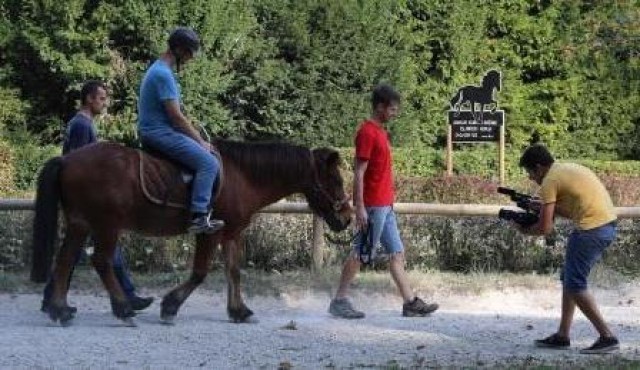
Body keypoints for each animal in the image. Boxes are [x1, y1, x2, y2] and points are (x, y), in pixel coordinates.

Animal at [30, 140, 352, 326]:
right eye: (336, 180)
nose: (348, 218)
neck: (241, 175)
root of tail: (68, 159)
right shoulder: (209, 233)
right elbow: (200, 272)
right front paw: (170, 306)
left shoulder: (231, 233)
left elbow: (234, 272)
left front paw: (239, 310)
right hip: (106, 225)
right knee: (101, 261)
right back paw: (122, 309)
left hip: (80, 224)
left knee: (65, 261)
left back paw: (60, 309)